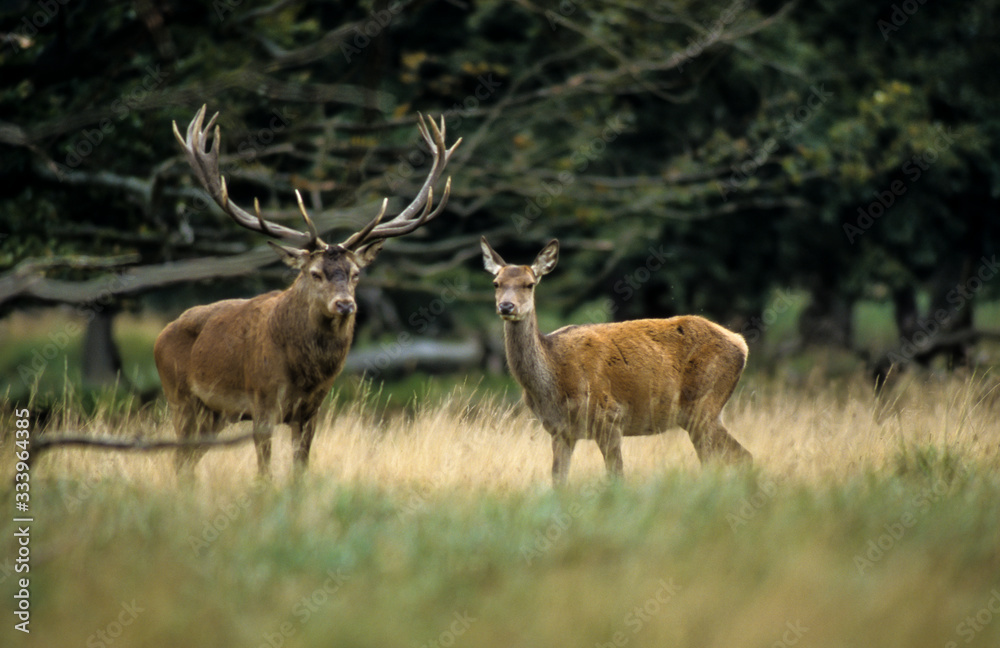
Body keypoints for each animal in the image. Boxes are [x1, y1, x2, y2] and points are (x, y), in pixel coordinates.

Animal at [155, 107, 460, 476]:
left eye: (356, 274)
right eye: (315, 273)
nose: (345, 305)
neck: (306, 372)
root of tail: (161, 335)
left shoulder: (311, 410)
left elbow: (300, 469)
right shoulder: (262, 400)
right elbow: (264, 471)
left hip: (214, 414)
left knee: (186, 461)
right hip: (180, 398)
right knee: (178, 457)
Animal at [482, 235, 752, 484]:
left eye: (529, 284)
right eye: (496, 283)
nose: (506, 306)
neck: (552, 380)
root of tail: (741, 344)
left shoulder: (609, 416)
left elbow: (616, 476)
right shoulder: (560, 431)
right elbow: (558, 481)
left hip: (705, 403)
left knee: (740, 456)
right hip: (700, 415)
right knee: (721, 459)